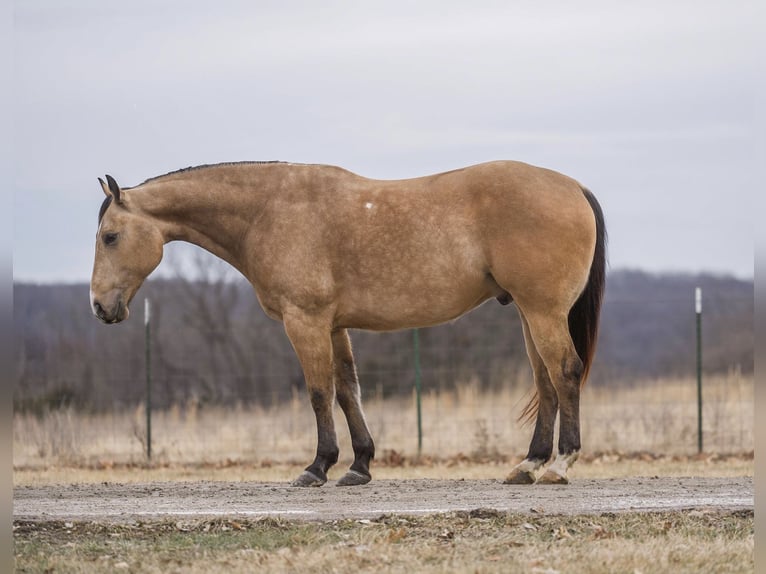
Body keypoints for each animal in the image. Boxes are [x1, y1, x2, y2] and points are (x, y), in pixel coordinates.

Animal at [90, 160, 608, 488]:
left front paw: (318, 466)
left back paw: (560, 466)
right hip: (527, 312)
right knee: (545, 382)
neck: (270, 210)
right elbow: (348, 392)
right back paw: (529, 465)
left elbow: (319, 392)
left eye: (110, 236)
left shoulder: (305, 322)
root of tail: (573, 186)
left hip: (542, 311)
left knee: (564, 372)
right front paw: (359, 465)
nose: (99, 306)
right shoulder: (334, 326)